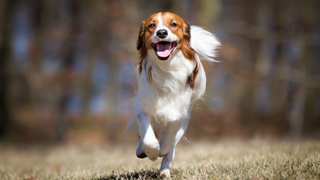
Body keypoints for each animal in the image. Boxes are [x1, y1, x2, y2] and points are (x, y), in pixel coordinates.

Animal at [126, 11, 221, 178]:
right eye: (152, 25)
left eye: (173, 24)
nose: (161, 33)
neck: (166, 68)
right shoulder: (142, 108)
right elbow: (149, 139)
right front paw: (151, 153)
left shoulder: (177, 115)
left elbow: (167, 145)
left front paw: (159, 152)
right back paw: (142, 151)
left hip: (184, 122)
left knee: (170, 148)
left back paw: (164, 171)